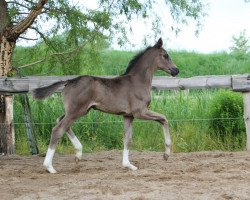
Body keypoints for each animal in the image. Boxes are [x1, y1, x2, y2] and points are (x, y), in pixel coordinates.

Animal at [32, 38, 178, 173]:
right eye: (165, 55)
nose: (176, 70)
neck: (138, 81)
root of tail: (69, 81)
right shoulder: (140, 112)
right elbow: (164, 119)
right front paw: (166, 155)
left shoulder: (128, 116)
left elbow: (127, 139)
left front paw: (128, 165)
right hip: (77, 111)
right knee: (58, 129)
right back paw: (50, 167)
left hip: (77, 111)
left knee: (60, 121)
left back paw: (78, 154)